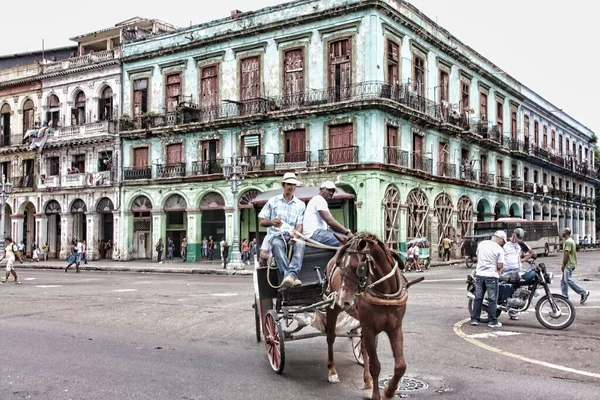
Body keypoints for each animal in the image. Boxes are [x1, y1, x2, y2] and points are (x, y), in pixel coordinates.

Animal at [324, 233, 422, 400]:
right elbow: (375, 366)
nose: (343, 300)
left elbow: (401, 366)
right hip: (332, 308)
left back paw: (367, 383)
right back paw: (332, 371)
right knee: (330, 337)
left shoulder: (395, 327)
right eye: (339, 264)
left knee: (362, 347)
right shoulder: (370, 328)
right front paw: (377, 395)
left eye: (357, 267)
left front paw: (389, 391)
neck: (385, 293)